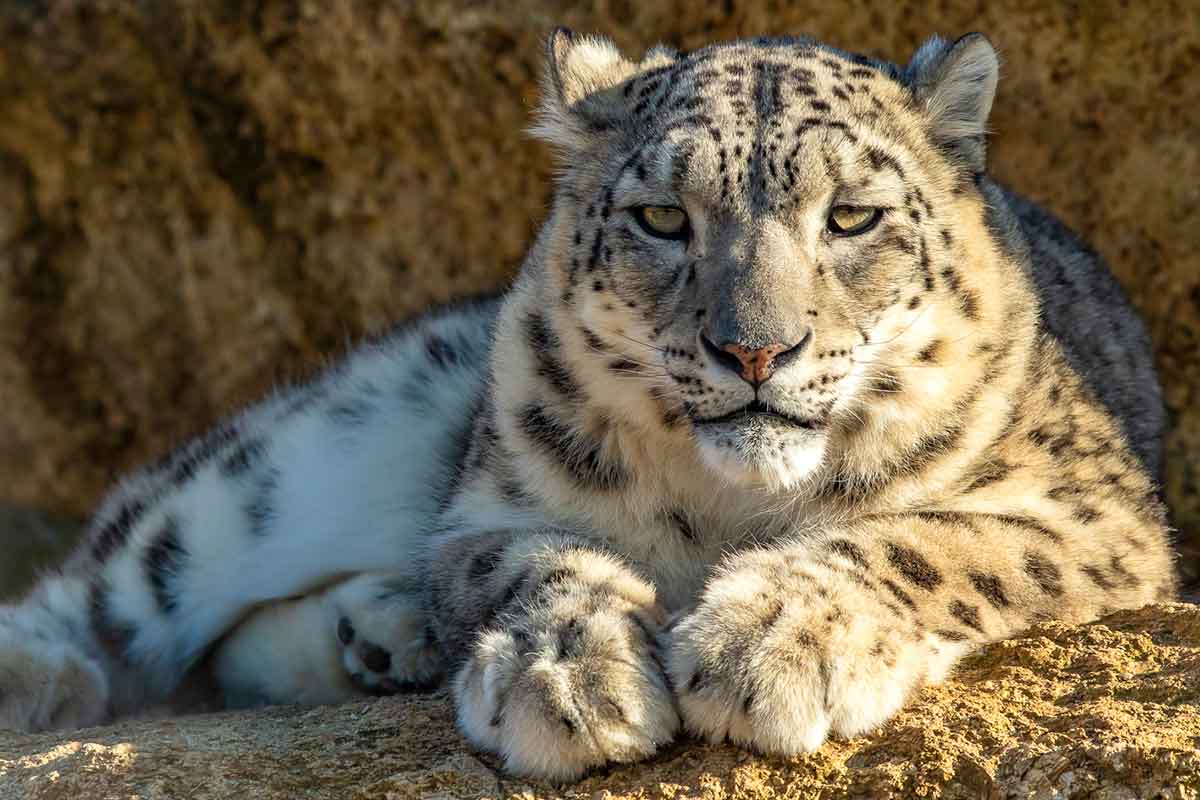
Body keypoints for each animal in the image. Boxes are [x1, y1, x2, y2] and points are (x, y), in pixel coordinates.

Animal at [0, 28, 1176, 777]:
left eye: (852, 216)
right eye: (662, 216)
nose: (755, 348)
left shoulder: (1096, 512)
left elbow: (932, 540)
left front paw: (771, 640)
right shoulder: (496, 501)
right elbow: (533, 563)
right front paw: (571, 679)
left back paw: (378, 629)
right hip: (311, 447)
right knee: (129, 565)